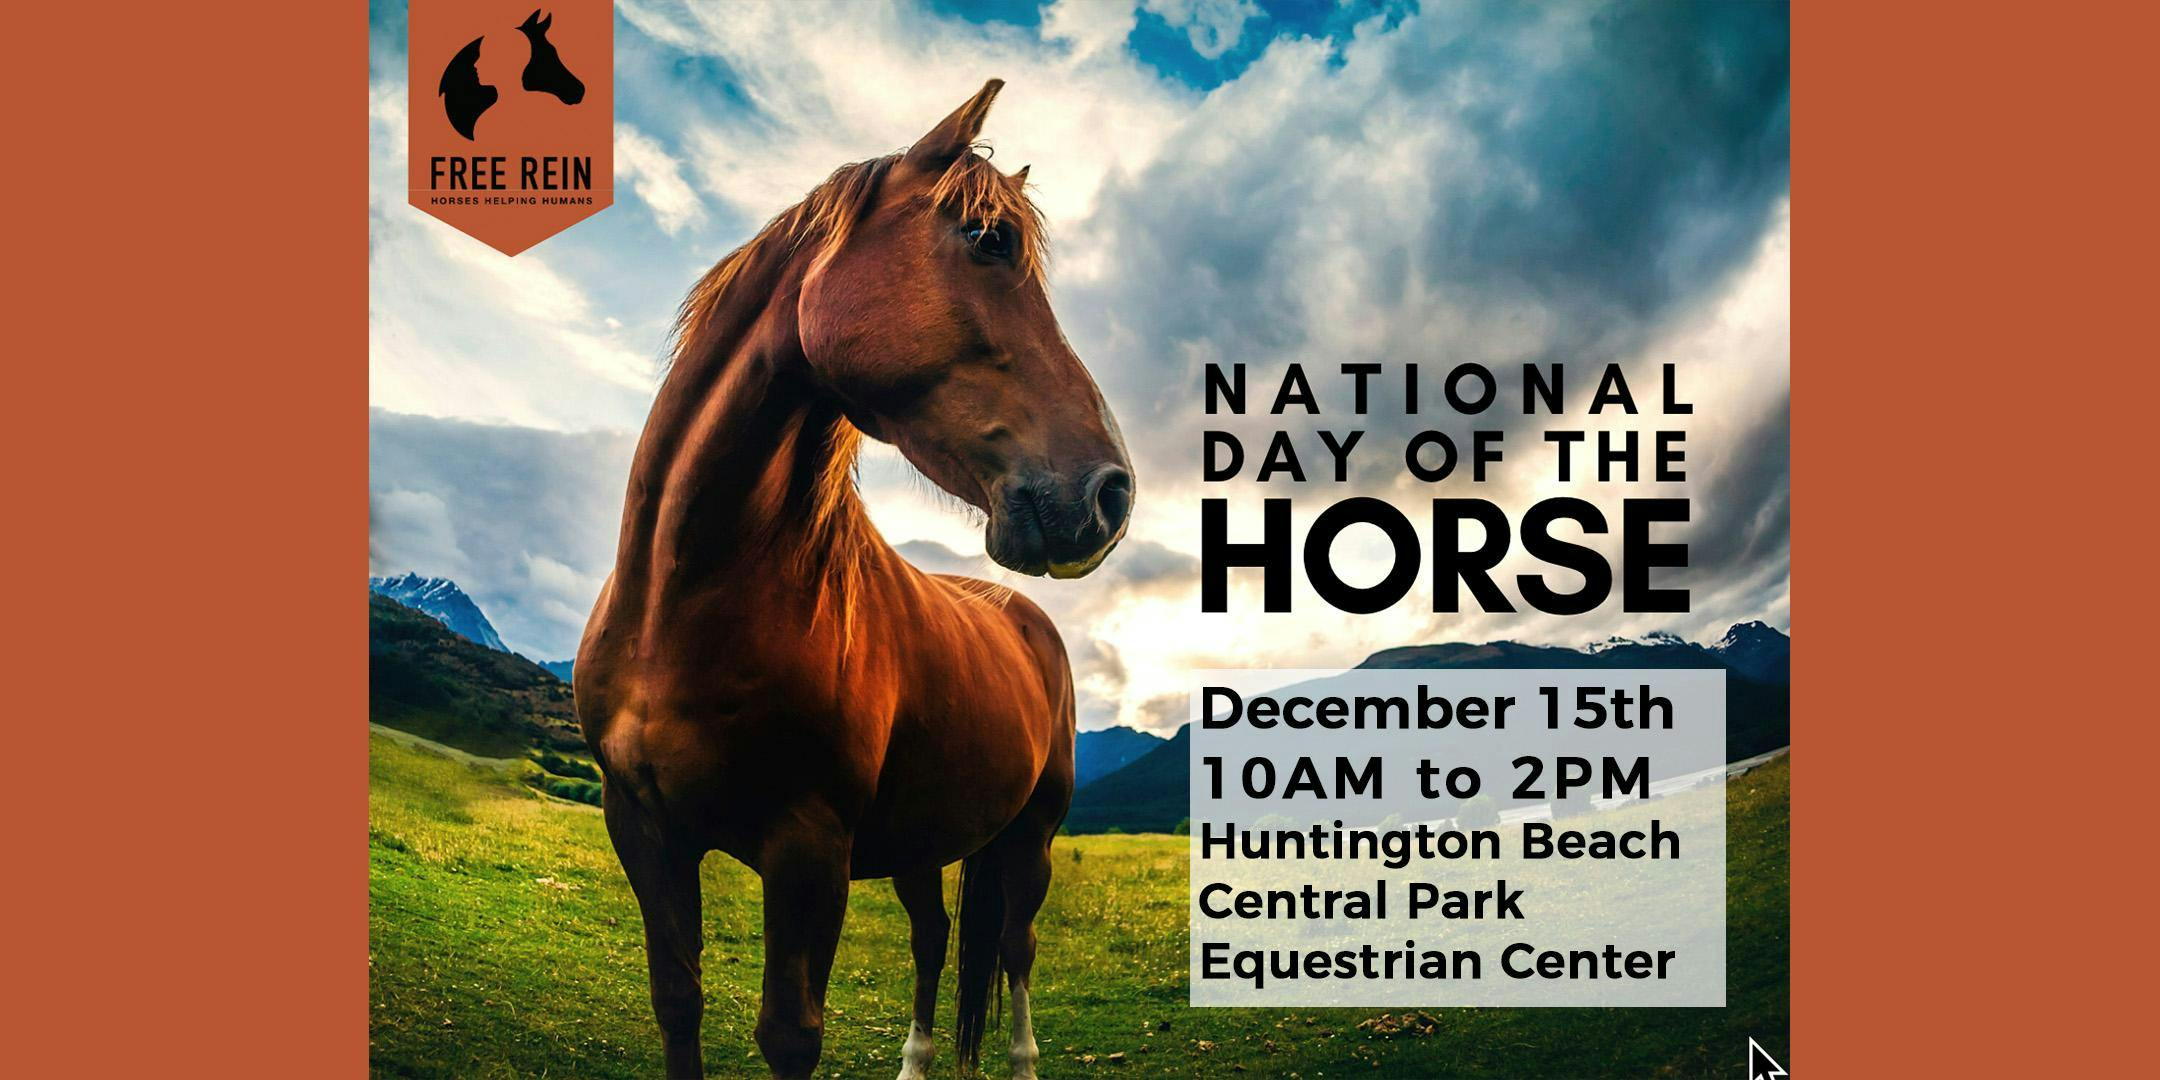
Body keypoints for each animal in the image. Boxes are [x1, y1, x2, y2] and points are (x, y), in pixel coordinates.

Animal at [576, 80, 1133, 1080]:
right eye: (987, 240)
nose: (1111, 493)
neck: (682, 605)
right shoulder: (641, 827)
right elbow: (677, 1002)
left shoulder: (808, 848)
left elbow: (789, 1035)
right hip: (923, 841)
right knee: (935, 939)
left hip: (1029, 838)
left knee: (1016, 950)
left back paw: (1022, 1058)